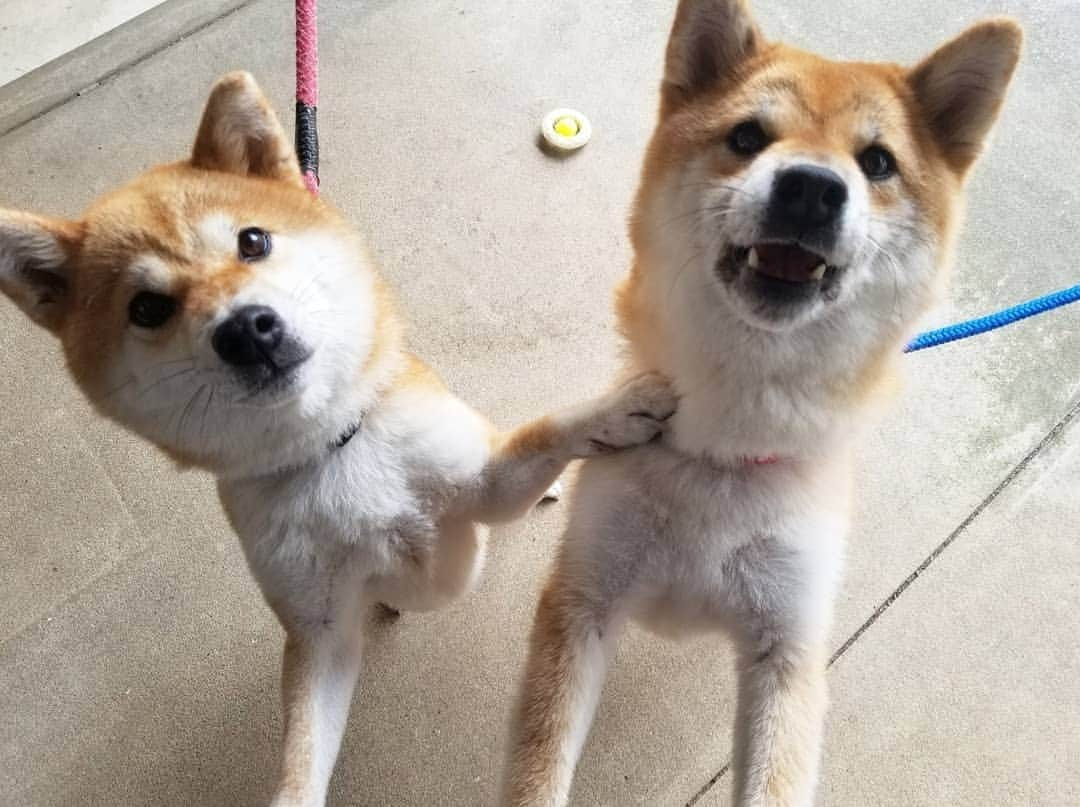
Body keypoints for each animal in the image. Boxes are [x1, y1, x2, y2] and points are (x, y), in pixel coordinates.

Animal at [0, 72, 673, 803]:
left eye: (253, 242)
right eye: (147, 308)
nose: (247, 328)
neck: (333, 449)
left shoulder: (486, 485)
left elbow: (549, 431)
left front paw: (622, 406)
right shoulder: (319, 631)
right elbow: (302, 747)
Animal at [505, 3, 1019, 803]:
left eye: (877, 162)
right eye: (747, 137)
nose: (811, 188)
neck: (725, 446)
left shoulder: (788, 651)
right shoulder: (582, 602)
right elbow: (540, 768)